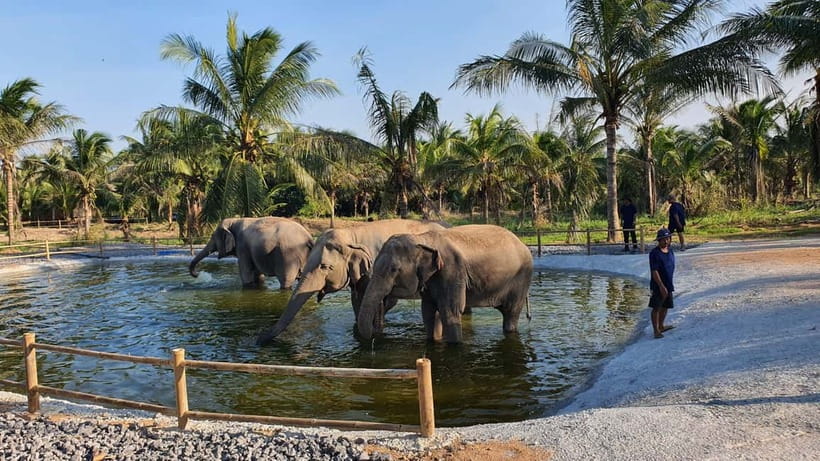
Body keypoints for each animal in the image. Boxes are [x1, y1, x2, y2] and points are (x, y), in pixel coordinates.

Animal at [256, 219, 447, 345]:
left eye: (325, 267)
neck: (351, 235)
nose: (258, 338)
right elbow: (358, 301)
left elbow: (380, 303)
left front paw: (376, 333)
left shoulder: (375, 269)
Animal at [357, 224, 533, 344]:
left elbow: (450, 311)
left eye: (393, 270)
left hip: (521, 279)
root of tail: (522, 243)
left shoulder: (452, 271)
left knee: (511, 313)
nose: (374, 337)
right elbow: (428, 312)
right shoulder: (431, 279)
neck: (421, 238)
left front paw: (455, 344)